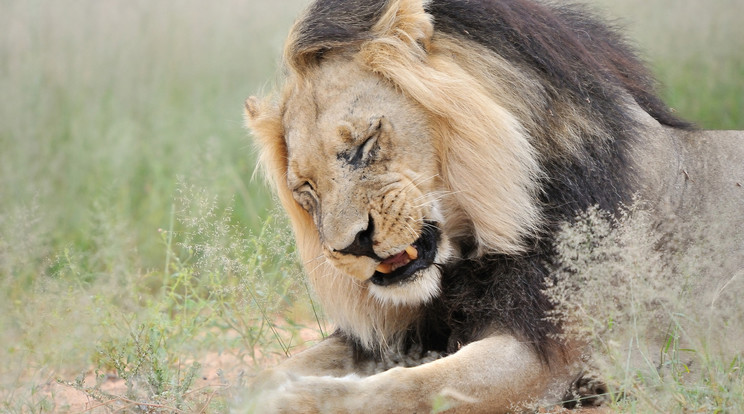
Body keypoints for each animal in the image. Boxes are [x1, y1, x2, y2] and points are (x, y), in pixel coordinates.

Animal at [244, 0, 744, 410]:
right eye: (305, 188)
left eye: (365, 143)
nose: (352, 247)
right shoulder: (410, 330)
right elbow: (272, 368)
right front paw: (251, 391)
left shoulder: (554, 355)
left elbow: (416, 386)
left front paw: (293, 401)